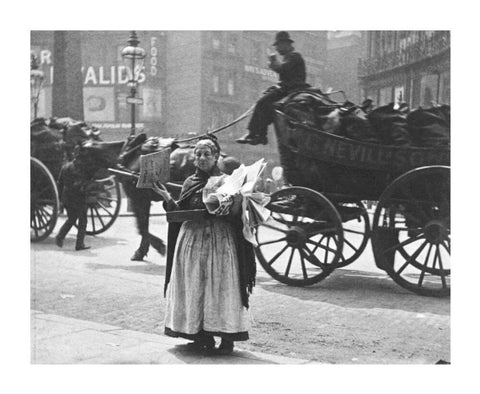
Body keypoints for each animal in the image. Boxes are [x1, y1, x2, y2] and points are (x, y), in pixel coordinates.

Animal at [80, 133, 242, 262]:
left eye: (78, 155)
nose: (80, 184)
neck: (127, 155)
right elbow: (143, 225)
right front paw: (147, 249)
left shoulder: (138, 197)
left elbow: (142, 226)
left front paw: (151, 248)